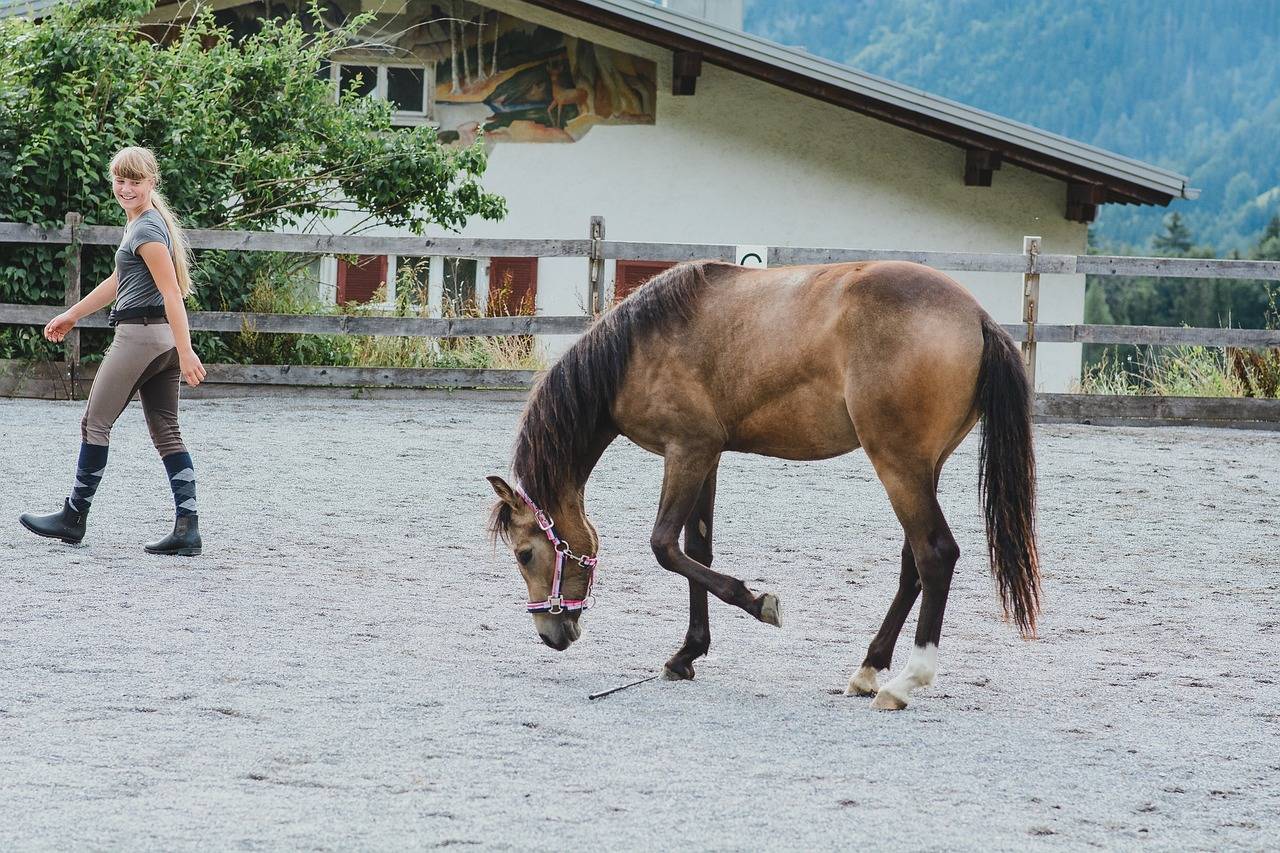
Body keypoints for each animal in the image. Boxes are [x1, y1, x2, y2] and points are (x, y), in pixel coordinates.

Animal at [488, 257, 1039, 701]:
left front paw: (758, 603)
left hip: (898, 465)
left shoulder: (686, 451)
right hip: (923, 467)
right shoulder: (707, 456)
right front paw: (688, 653)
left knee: (935, 554)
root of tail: (975, 316)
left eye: (525, 554)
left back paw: (906, 681)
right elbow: (698, 548)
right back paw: (868, 669)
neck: (636, 347)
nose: (549, 631)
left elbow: (665, 546)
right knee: (914, 565)